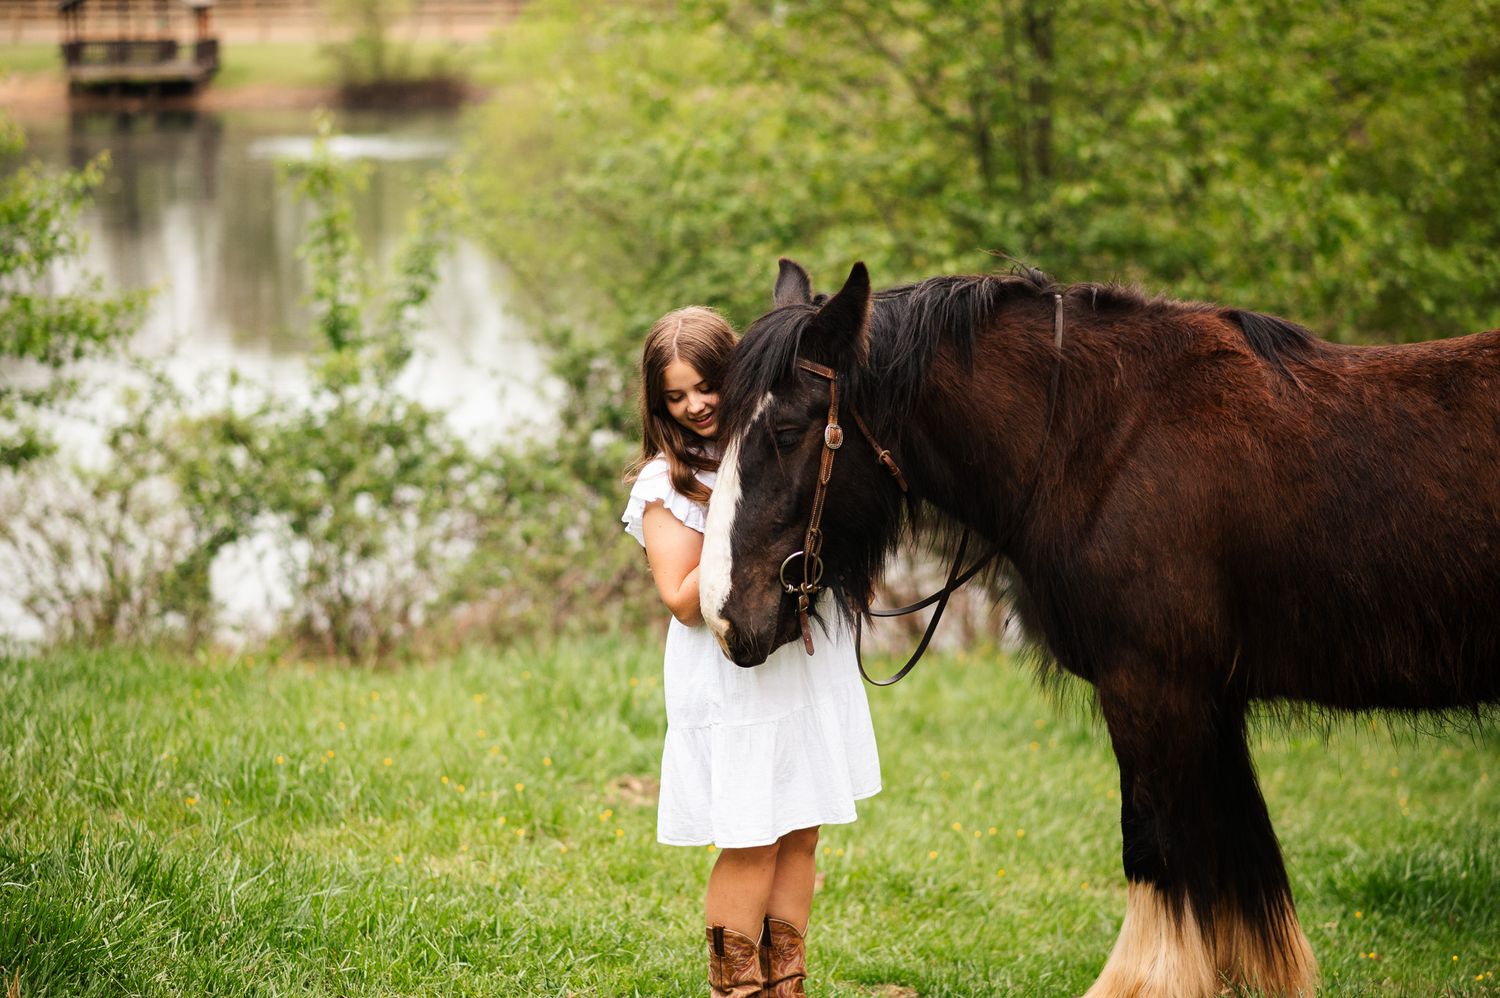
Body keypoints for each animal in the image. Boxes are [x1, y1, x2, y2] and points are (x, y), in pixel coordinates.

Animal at [698, 258, 1500, 997]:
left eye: (787, 430)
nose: (726, 612)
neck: (1104, 438)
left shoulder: (1152, 688)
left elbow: (1155, 846)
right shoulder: (1210, 702)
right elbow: (1236, 856)